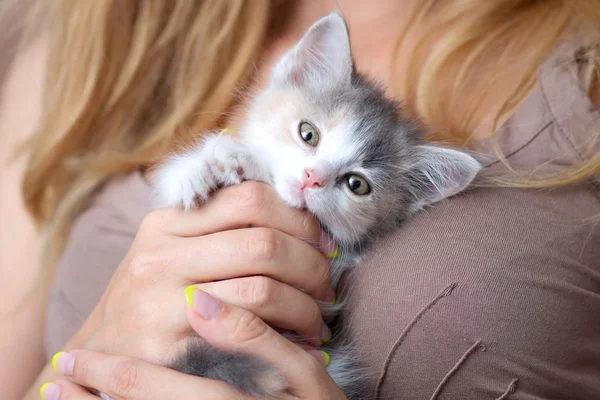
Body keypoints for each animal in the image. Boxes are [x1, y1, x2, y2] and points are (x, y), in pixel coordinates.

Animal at [152, 12, 480, 400]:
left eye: (357, 184)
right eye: (308, 133)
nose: (312, 177)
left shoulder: (326, 290)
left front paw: (241, 160)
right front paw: (196, 171)